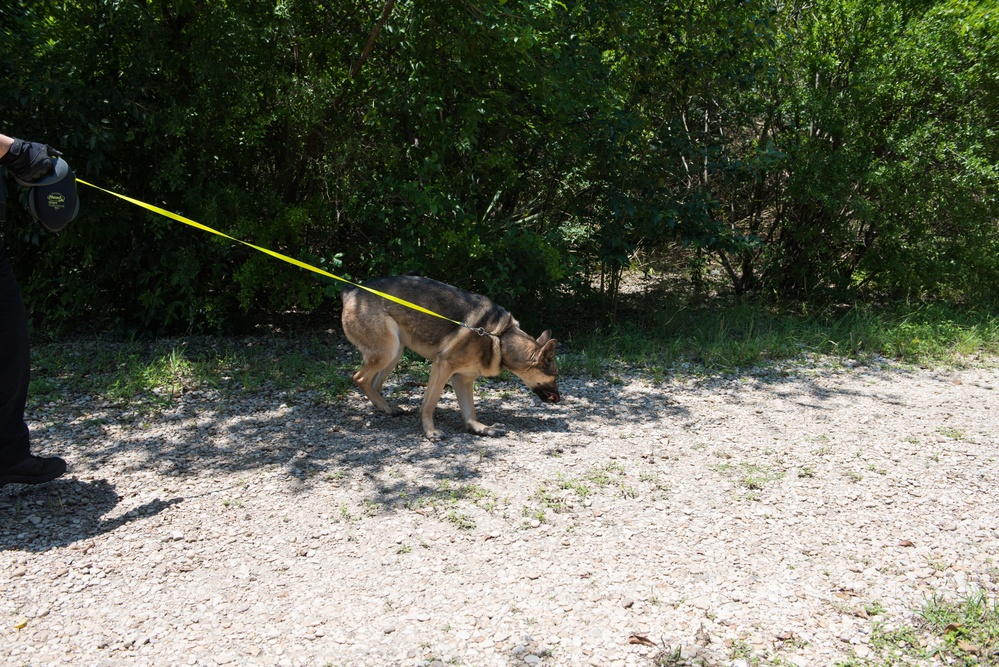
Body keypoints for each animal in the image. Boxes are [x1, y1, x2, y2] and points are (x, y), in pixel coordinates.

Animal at [344, 274, 564, 440]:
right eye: (555, 376)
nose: (560, 399)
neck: (500, 339)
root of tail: (351, 292)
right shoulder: (443, 368)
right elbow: (429, 403)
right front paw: (430, 431)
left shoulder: (463, 379)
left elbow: (469, 412)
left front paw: (481, 428)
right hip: (387, 352)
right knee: (359, 378)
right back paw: (382, 405)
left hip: (395, 352)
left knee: (374, 383)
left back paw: (385, 407)